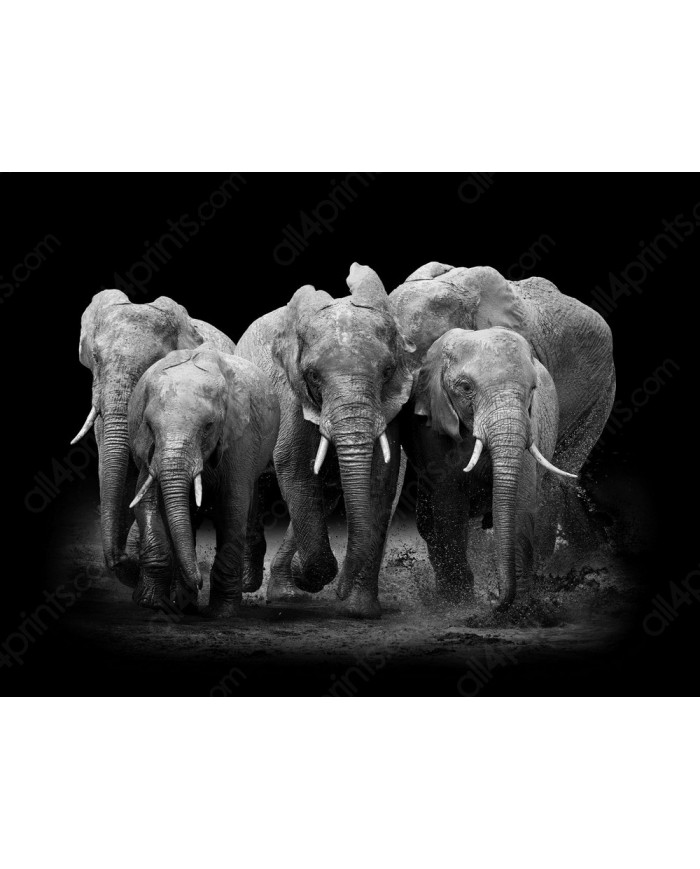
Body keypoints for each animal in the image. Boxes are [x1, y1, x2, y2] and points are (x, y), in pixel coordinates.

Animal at [128, 345, 279, 616]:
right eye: (149, 426)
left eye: (209, 426)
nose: (199, 581)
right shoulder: (147, 448)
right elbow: (147, 501)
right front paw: (150, 603)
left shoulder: (241, 437)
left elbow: (233, 505)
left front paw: (223, 613)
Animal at [235, 263, 417, 618]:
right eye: (313, 376)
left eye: (387, 372)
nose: (340, 592)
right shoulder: (290, 393)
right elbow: (294, 467)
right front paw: (313, 578)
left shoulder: (389, 407)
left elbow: (381, 478)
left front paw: (359, 610)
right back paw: (250, 582)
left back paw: (286, 592)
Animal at [409, 327, 573, 609]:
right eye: (465, 387)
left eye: (533, 388)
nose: (495, 602)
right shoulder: (433, 429)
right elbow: (449, 506)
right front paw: (460, 603)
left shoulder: (530, 426)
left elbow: (520, 503)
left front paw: (520, 606)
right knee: (428, 524)